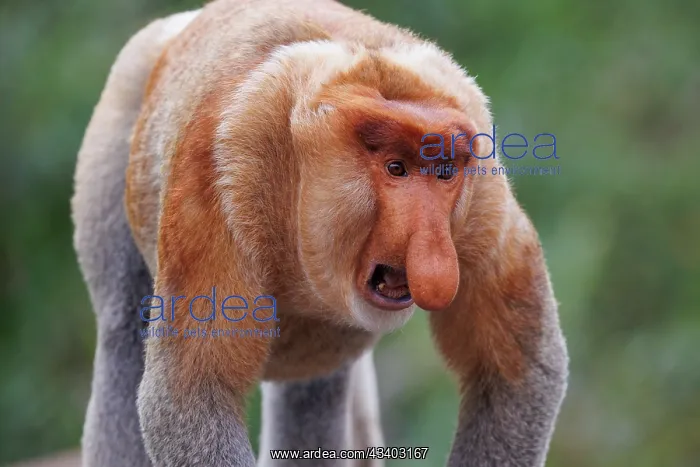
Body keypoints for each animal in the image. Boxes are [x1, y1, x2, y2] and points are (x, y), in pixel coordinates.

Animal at [71, 0, 569, 466]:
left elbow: (516, 372)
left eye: (444, 172)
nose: (433, 257)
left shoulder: (483, 201)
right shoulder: (219, 182)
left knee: (313, 391)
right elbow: (193, 395)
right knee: (122, 330)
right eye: (396, 168)